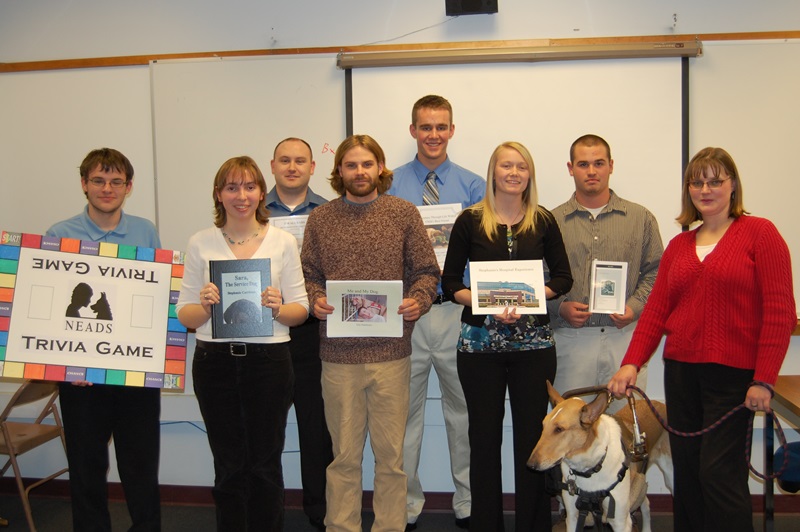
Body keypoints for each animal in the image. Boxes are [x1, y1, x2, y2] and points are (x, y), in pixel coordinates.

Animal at [528, 382, 672, 532]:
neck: (591, 468)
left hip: (667, 476)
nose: (530, 464)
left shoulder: (620, 522)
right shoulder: (573, 517)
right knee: (645, 501)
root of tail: (658, 403)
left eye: (559, 429)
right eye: (543, 425)